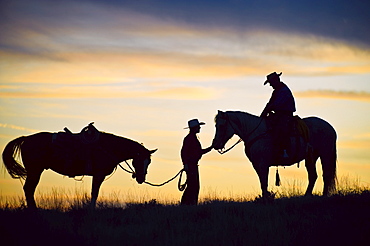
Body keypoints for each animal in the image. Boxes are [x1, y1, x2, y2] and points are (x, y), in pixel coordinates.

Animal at [2, 126, 157, 209]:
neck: (108, 147)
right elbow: (94, 193)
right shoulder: (98, 174)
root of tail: (25, 138)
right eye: (139, 160)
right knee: (29, 189)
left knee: (29, 190)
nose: (141, 179)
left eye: (149, 162)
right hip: (35, 171)